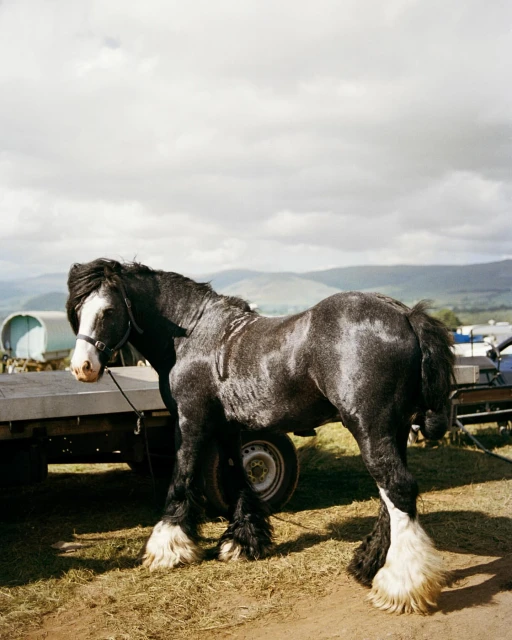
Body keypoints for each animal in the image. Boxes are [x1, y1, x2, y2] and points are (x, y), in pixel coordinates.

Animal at [66, 258, 454, 614]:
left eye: (108, 310)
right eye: (78, 311)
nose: (81, 367)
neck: (192, 333)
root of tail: (407, 315)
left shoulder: (190, 421)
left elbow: (182, 475)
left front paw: (167, 548)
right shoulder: (228, 428)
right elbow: (237, 477)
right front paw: (243, 542)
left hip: (370, 427)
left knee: (397, 489)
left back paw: (401, 587)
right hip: (394, 429)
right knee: (389, 495)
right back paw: (366, 564)